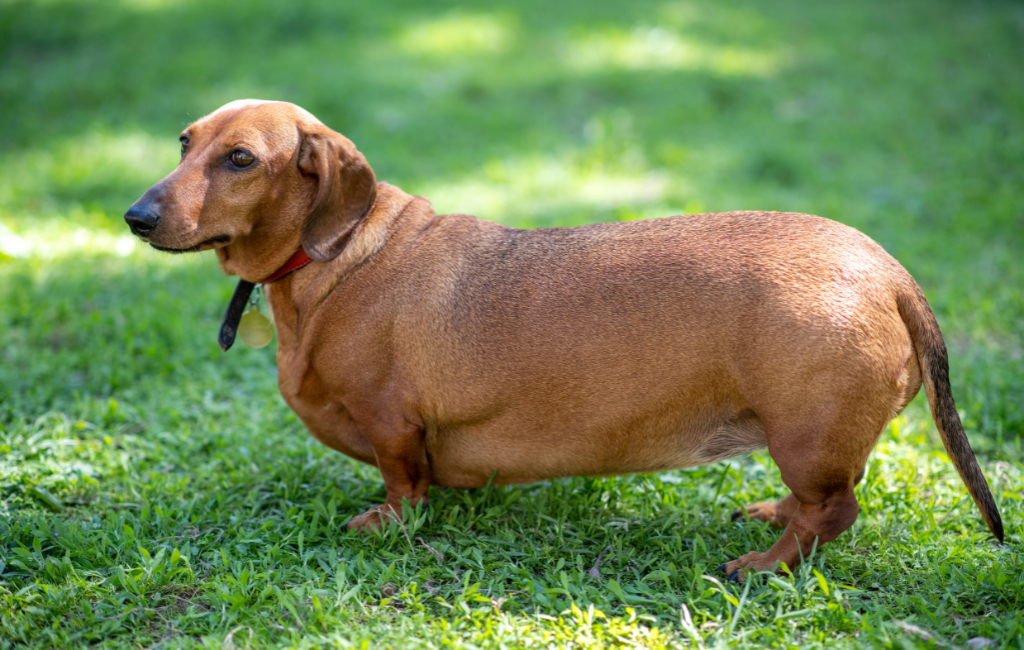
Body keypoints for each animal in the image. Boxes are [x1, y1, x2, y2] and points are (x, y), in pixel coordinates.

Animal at [121, 100, 999, 581]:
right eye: (184, 142)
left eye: (242, 159)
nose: (135, 216)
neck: (337, 262)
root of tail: (886, 268)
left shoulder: (392, 424)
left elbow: (404, 486)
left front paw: (386, 523)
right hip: (806, 439)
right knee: (822, 501)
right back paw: (770, 516)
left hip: (806, 434)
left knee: (836, 510)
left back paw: (761, 566)